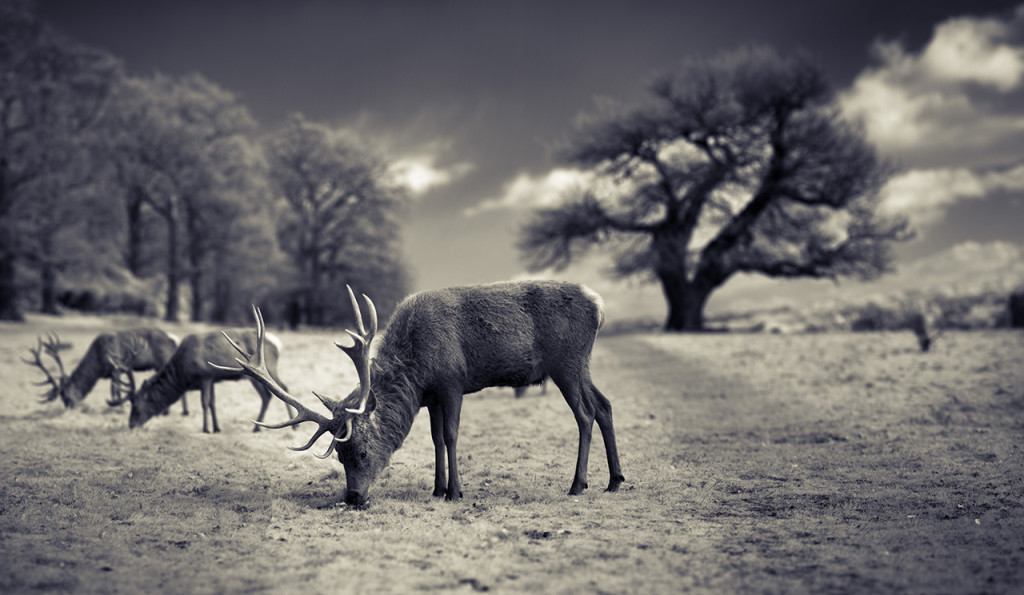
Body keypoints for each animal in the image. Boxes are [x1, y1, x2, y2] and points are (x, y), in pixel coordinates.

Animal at [23, 327, 186, 411]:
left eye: (65, 396)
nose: (70, 408)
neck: (98, 364)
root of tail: (175, 339)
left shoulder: (117, 366)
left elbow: (116, 390)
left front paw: (119, 408)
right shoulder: (111, 372)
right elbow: (113, 389)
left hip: (164, 360)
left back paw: (182, 412)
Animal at [112, 327, 296, 434]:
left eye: (136, 407)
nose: (131, 425)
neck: (183, 374)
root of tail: (277, 344)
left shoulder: (205, 376)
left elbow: (205, 403)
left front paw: (206, 429)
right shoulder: (212, 378)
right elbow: (213, 402)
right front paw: (217, 427)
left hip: (268, 367)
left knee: (283, 388)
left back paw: (293, 425)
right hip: (256, 376)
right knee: (268, 396)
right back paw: (258, 426)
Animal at [216, 280, 622, 503]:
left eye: (362, 452)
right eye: (339, 457)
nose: (353, 498)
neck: (416, 371)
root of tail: (600, 305)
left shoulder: (452, 383)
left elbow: (452, 435)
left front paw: (455, 492)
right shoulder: (430, 398)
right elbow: (435, 439)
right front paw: (437, 489)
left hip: (566, 362)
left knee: (585, 414)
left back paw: (578, 485)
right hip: (579, 365)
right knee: (604, 405)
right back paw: (614, 481)